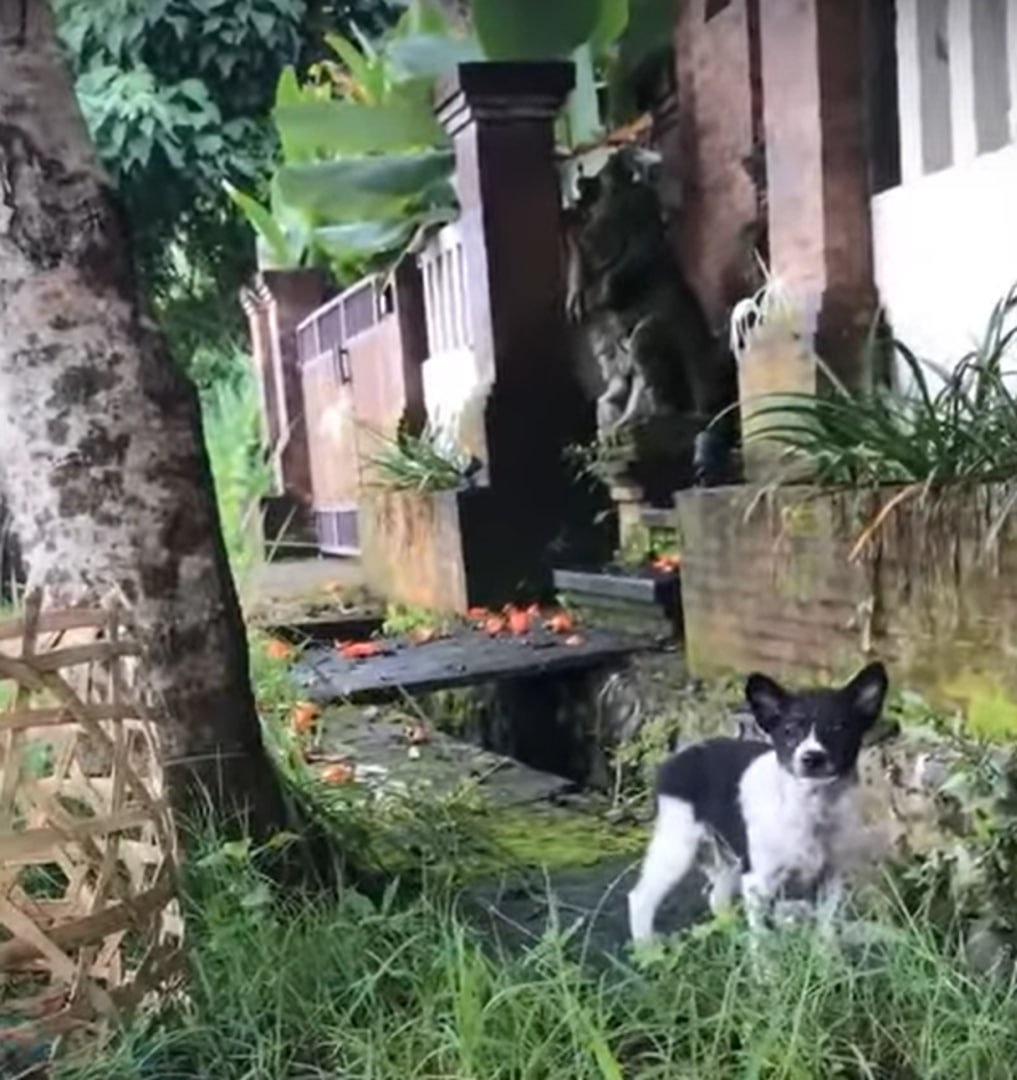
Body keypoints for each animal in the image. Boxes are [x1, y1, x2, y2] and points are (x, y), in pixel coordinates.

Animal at [634, 660, 889, 941]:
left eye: (838, 729)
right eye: (789, 731)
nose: (812, 757)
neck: (810, 805)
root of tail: (681, 755)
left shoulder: (830, 877)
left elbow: (825, 929)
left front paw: (828, 952)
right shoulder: (758, 882)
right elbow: (763, 939)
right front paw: (764, 953)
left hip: (729, 857)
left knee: (717, 897)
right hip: (678, 845)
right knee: (640, 897)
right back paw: (646, 946)